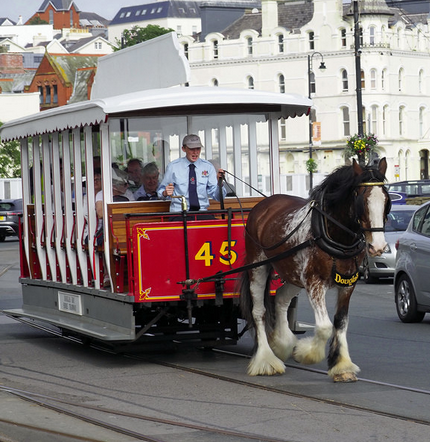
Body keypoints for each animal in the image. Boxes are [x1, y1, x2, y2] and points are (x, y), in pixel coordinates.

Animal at [240, 157, 392, 382]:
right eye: (361, 200)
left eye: (386, 200)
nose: (378, 247)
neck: (334, 234)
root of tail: (264, 205)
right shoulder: (314, 282)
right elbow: (325, 326)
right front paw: (307, 354)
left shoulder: (347, 284)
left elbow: (340, 321)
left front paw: (341, 366)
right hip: (258, 267)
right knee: (259, 311)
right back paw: (265, 360)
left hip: (293, 273)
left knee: (281, 299)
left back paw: (282, 344)